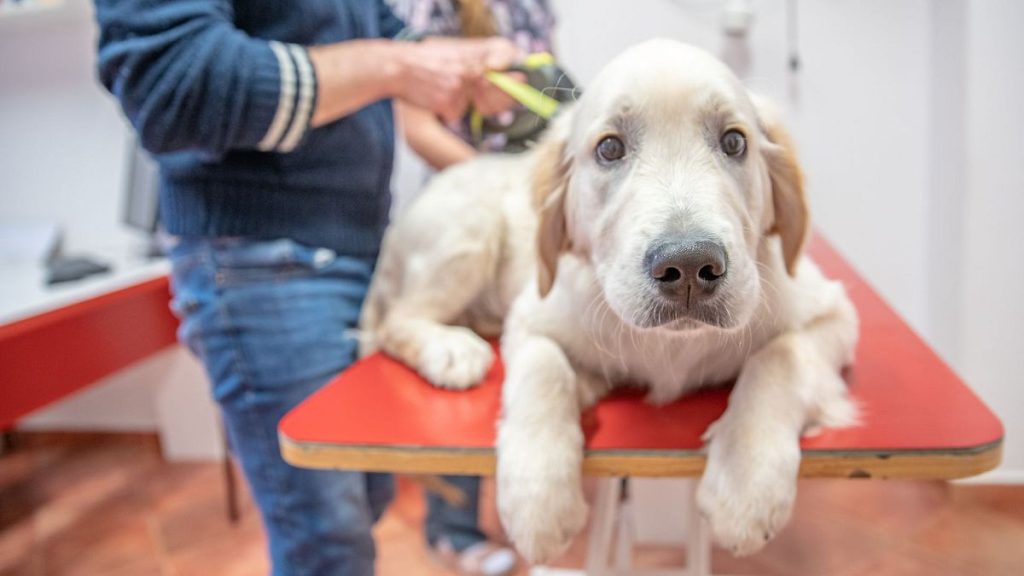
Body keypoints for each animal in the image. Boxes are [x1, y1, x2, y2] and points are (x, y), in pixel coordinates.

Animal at [364, 39, 860, 561]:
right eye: (610, 148)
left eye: (734, 143)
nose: (688, 267)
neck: (672, 345)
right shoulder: (532, 314)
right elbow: (544, 372)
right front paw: (539, 500)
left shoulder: (834, 312)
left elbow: (781, 357)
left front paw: (745, 485)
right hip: (468, 232)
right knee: (396, 321)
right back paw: (450, 349)